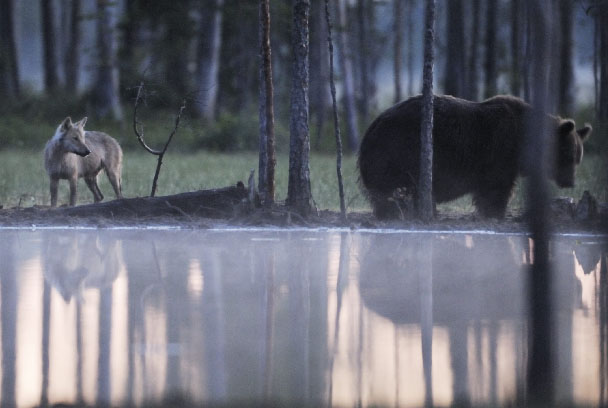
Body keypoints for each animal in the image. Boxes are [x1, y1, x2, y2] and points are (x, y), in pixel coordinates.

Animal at [358, 94, 592, 218]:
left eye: (578, 158)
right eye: (567, 155)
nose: (570, 182)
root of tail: (372, 126)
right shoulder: (500, 151)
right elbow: (496, 188)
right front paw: (495, 212)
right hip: (397, 150)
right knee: (391, 190)